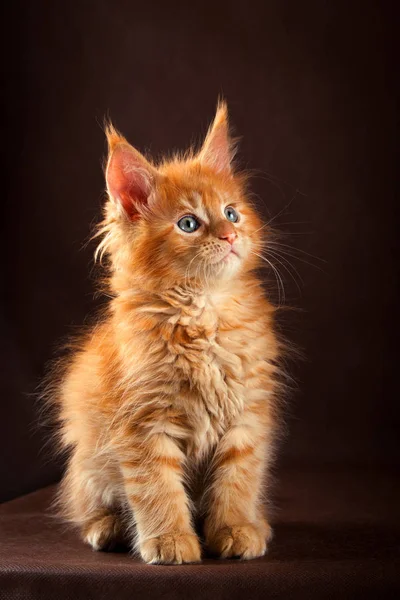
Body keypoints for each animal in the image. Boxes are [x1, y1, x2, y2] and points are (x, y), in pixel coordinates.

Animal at [51, 101, 280, 564]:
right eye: (189, 224)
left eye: (231, 212)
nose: (231, 234)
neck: (204, 314)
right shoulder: (143, 426)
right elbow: (156, 489)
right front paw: (171, 539)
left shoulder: (246, 417)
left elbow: (238, 482)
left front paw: (235, 529)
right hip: (89, 465)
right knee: (88, 505)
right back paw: (107, 529)